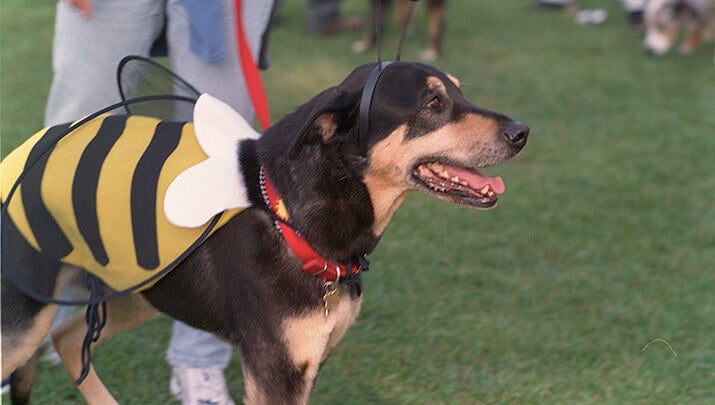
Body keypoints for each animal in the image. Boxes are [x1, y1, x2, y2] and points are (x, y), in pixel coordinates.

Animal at [0, 60, 524, 404]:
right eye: (433, 102)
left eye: (459, 93)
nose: (522, 132)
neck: (291, 216)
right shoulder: (277, 375)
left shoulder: (308, 366)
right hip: (26, 323)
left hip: (141, 290)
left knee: (69, 340)